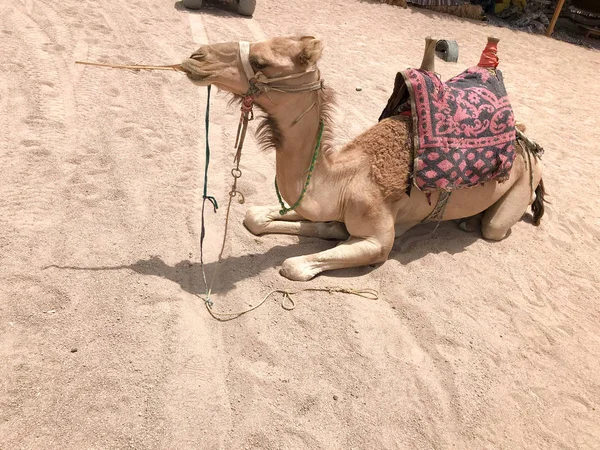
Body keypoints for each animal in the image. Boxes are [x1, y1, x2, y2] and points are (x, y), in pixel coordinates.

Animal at [180, 36, 548, 282]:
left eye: (260, 61)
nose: (196, 56)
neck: (345, 178)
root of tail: (526, 143)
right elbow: (256, 217)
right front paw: (325, 228)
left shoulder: (378, 240)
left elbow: (293, 265)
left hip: (518, 192)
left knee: (494, 227)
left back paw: (473, 223)